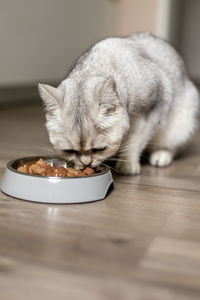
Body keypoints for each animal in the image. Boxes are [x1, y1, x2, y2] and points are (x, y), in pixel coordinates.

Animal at [38, 32, 199, 176]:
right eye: (70, 151)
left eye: (99, 149)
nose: (86, 163)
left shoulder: (152, 112)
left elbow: (135, 141)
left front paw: (127, 164)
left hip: (182, 122)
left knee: (174, 146)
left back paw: (161, 155)